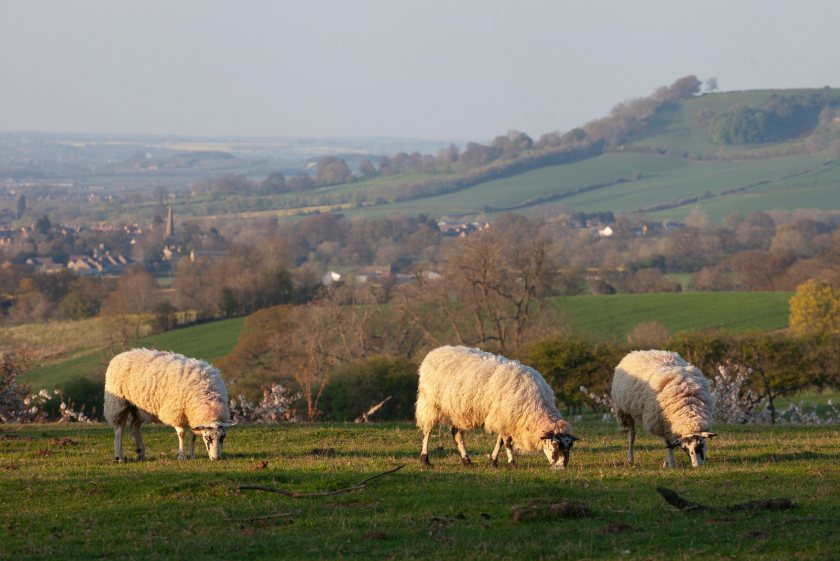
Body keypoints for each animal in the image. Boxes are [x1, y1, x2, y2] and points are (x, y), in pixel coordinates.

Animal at [103, 348, 231, 462]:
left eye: (222, 437)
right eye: (206, 437)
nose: (216, 458)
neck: (207, 395)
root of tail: (120, 355)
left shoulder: (191, 413)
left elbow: (193, 435)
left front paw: (191, 455)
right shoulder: (176, 412)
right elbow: (182, 434)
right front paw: (181, 456)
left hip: (140, 408)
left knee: (134, 426)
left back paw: (140, 452)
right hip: (119, 404)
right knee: (119, 430)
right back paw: (119, 457)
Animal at [416, 346, 576, 468]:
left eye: (569, 446)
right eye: (555, 445)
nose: (562, 467)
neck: (535, 406)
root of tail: (436, 351)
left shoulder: (505, 418)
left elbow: (500, 441)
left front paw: (493, 462)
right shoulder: (504, 417)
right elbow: (508, 443)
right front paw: (512, 464)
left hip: (458, 410)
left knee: (456, 433)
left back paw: (466, 460)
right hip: (430, 403)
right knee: (427, 431)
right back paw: (425, 459)